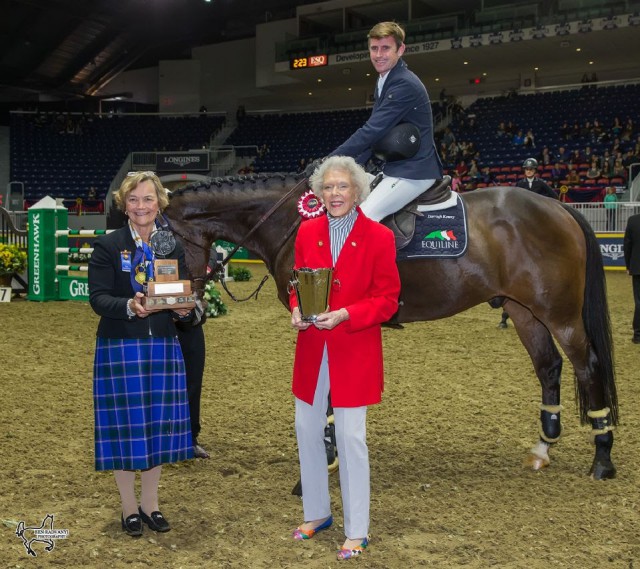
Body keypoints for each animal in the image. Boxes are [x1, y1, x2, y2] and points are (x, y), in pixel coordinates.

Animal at [162, 173, 616, 480]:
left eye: (166, 248)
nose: (190, 313)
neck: (292, 220)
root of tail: (558, 207)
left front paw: (328, 455)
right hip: (524, 311)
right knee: (549, 367)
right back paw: (543, 447)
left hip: (560, 315)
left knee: (588, 366)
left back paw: (602, 456)